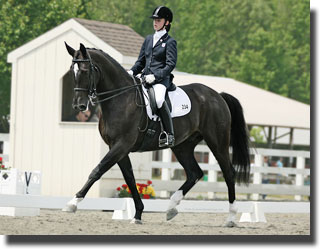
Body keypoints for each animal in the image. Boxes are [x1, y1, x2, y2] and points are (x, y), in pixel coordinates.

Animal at [62, 43, 251, 227]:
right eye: (72, 71)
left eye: (85, 70)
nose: (78, 105)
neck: (121, 98)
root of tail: (218, 96)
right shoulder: (118, 147)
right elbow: (129, 178)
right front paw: (137, 214)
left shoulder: (122, 144)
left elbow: (98, 170)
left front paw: (72, 203)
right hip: (182, 146)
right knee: (194, 173)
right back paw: (171, 208)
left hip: (217, 142)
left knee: (228, 173)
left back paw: (231, 218)